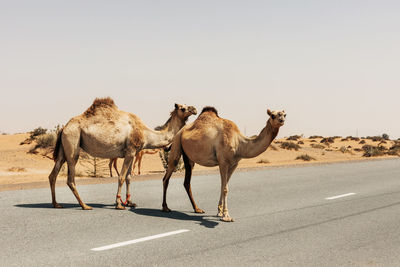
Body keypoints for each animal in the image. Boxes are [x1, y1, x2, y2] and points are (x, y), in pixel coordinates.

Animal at [48, 97, 197, 210]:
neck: (145, 133)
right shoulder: (130, 151)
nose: (194, 109)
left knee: (53, 174)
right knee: (70, 178)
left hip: (64, 147)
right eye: (183, 108)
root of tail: (64, 127)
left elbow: (129, 178)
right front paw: (119, 204)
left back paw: (56, 204)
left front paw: (130, 202)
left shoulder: (132, 153)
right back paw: (84, 205)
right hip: (73, 141)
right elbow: (121, 177)